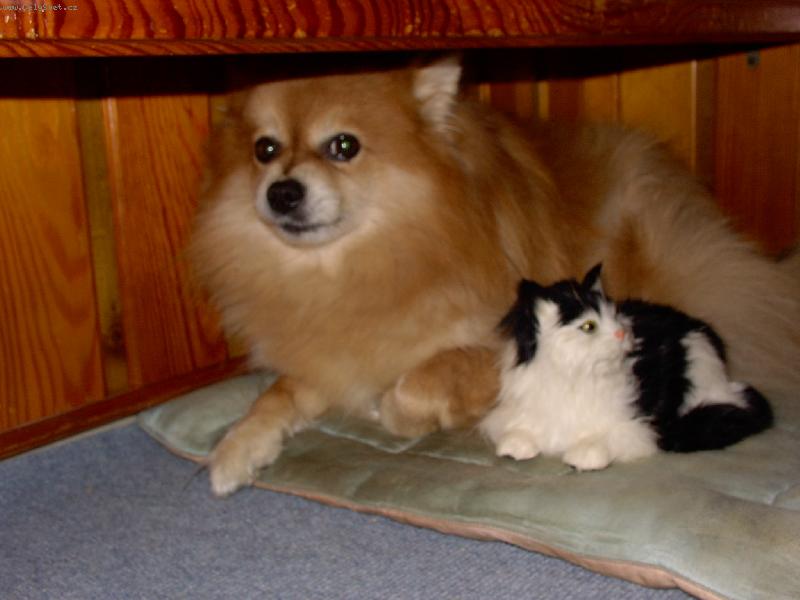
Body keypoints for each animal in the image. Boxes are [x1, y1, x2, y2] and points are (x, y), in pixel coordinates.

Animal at [480, 264, 774, 470]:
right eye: (589, 326)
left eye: (615, 317)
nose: (621, 333)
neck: (575, 379)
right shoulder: (513, 410)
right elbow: (518, 427)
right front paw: (516, 444)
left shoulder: (636, 428)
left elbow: (603, 437)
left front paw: (584, 455)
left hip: (704, 377)